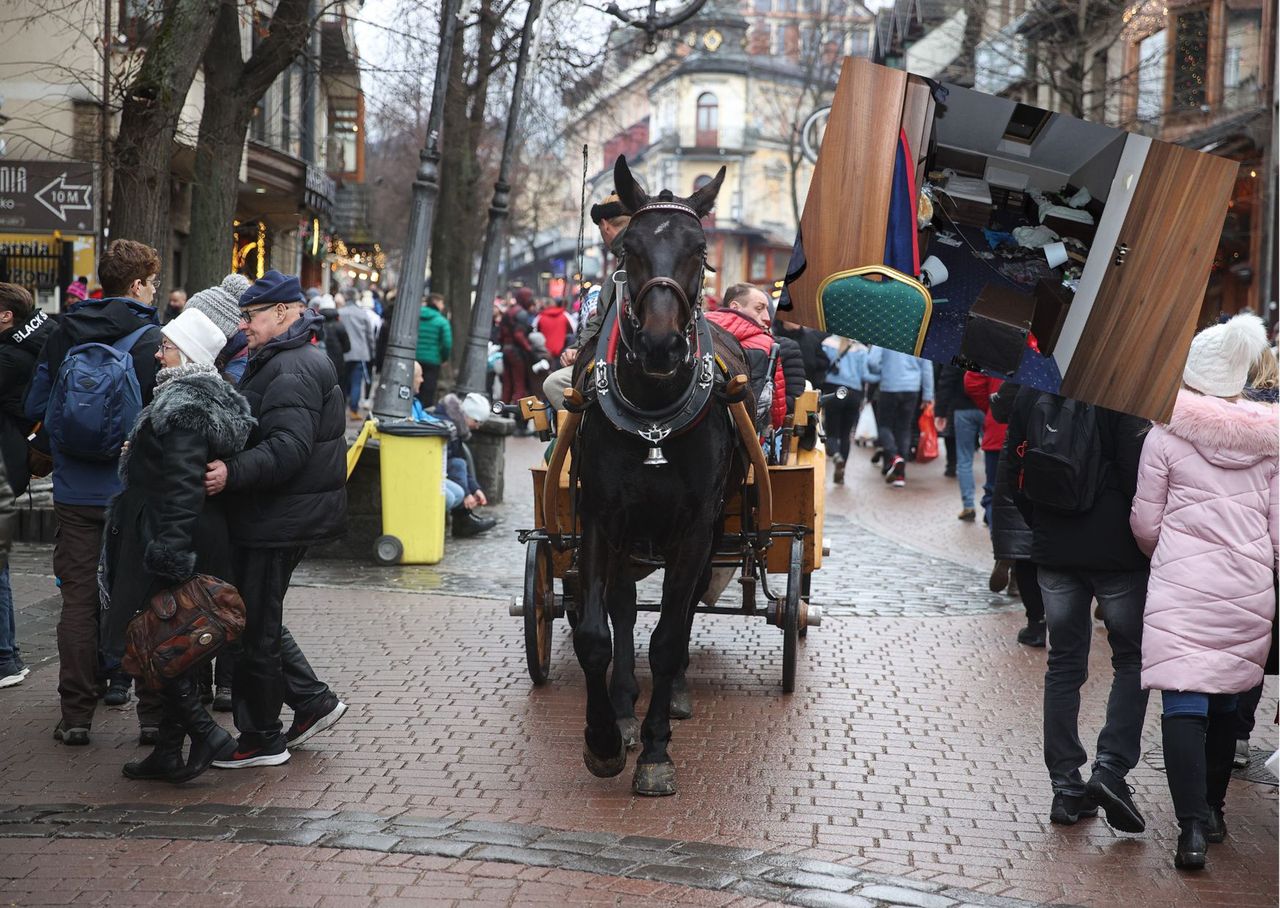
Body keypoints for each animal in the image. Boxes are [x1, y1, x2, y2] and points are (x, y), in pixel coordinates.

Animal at [573, 155, 747, 794]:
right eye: (629, 247)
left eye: (700, 249)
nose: (660, 344)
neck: (653, 418)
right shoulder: (601, 517)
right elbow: (596, 633)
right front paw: (604, 739)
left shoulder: (695, 529)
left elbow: (670, 637)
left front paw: (654, 751)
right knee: (623, 607)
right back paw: (624, 706)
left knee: (686, 608)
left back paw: (668, 698)